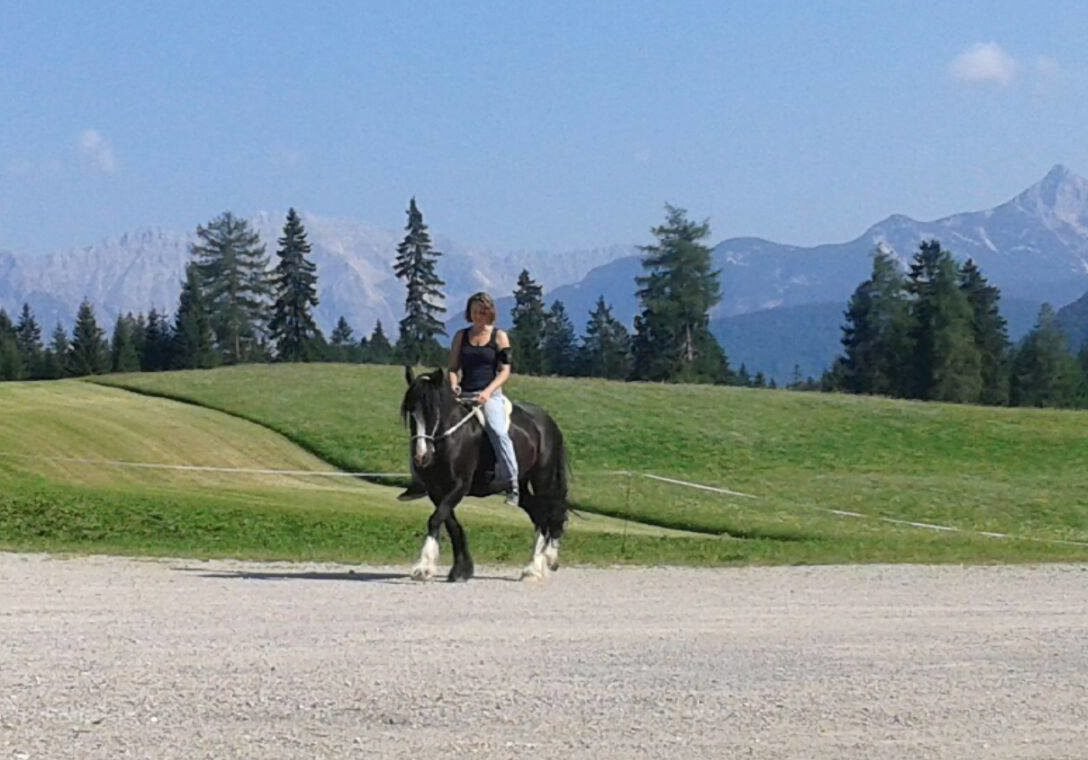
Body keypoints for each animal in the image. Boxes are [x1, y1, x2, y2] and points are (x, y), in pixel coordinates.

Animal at [400, 367, 570, 582]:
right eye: (410, 412)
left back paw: (539, 565)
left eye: (433, 412)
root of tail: (548, 422)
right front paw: (461, 570)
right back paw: (536, 565)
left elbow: (436, 519)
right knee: (538, 515)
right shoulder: (436, 490)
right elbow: (450, 523)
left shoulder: (460, 486)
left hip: (543, 479)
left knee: (549, 515)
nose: (421, 456)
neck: (451, 438)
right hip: (519, 486)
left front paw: (423, 567)